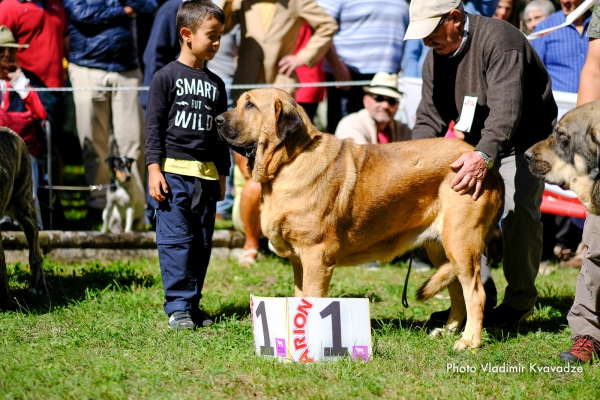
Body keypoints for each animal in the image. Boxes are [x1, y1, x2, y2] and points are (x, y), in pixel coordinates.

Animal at [216, 88, 506, 350]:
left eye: (250, 105)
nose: (217, 119)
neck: (290, 160)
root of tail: (491, 170)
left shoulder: (315, 256)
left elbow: (312, 298)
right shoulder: (299, 261)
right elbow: (300, 298)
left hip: (461, 242)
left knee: (475, 293)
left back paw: (468, 341)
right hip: (441, 248)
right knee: (456, 290)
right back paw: (448, 330)